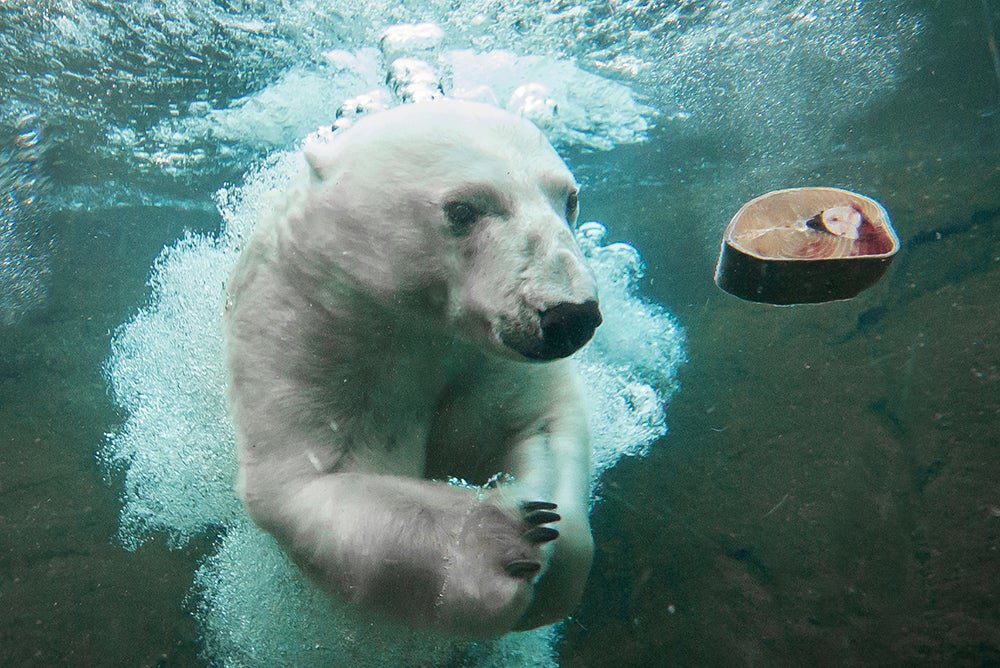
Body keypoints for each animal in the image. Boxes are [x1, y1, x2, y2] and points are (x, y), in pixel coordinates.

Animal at [225, 99, 600, 636]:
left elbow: (538, 421)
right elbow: (311, 481)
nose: (569, 316)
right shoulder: (307, 329)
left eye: (569, 198)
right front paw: (503, 537)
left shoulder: (486, 359)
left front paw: (554, 539)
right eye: (463, 208)